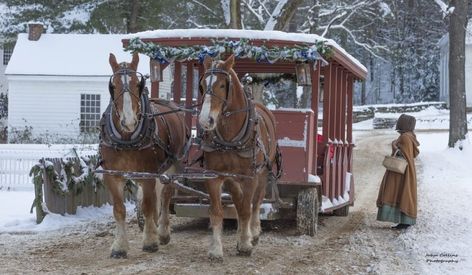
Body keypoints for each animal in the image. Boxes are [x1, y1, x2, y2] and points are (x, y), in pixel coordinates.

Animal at [100, 52, 189, 260]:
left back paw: (162, 232)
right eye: (114, 85)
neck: (126, 139)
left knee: (165, 196)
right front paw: (119, 246)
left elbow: (149, 204)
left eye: (137, 84)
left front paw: (150, 241)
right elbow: (119, 209)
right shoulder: (111, 175)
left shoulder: (148, 173)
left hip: (171, 166)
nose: (129, 121)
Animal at [199, 54, 280, 260]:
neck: (229, 138)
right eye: (202, 84)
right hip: (232, 178)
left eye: (222, 85)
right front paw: (216, 249)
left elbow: (245, 210)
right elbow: (218, 212)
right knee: (237, 200)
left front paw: (245, 243)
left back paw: (253, 233)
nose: (205, 121)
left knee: (255, 202)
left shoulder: (249, 177)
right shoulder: (214, 176)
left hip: (262, 173)